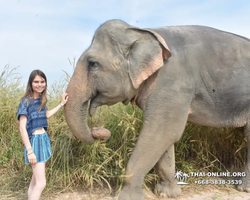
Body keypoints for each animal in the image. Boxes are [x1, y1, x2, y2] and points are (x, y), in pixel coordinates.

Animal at [63, 19, 250, 200]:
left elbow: (161, 132)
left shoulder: (173, 82)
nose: (99, 131)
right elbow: (164, 137)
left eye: (92, 64)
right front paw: (167, 194)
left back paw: (244, 189)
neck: (143, 31)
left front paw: (129, 197)